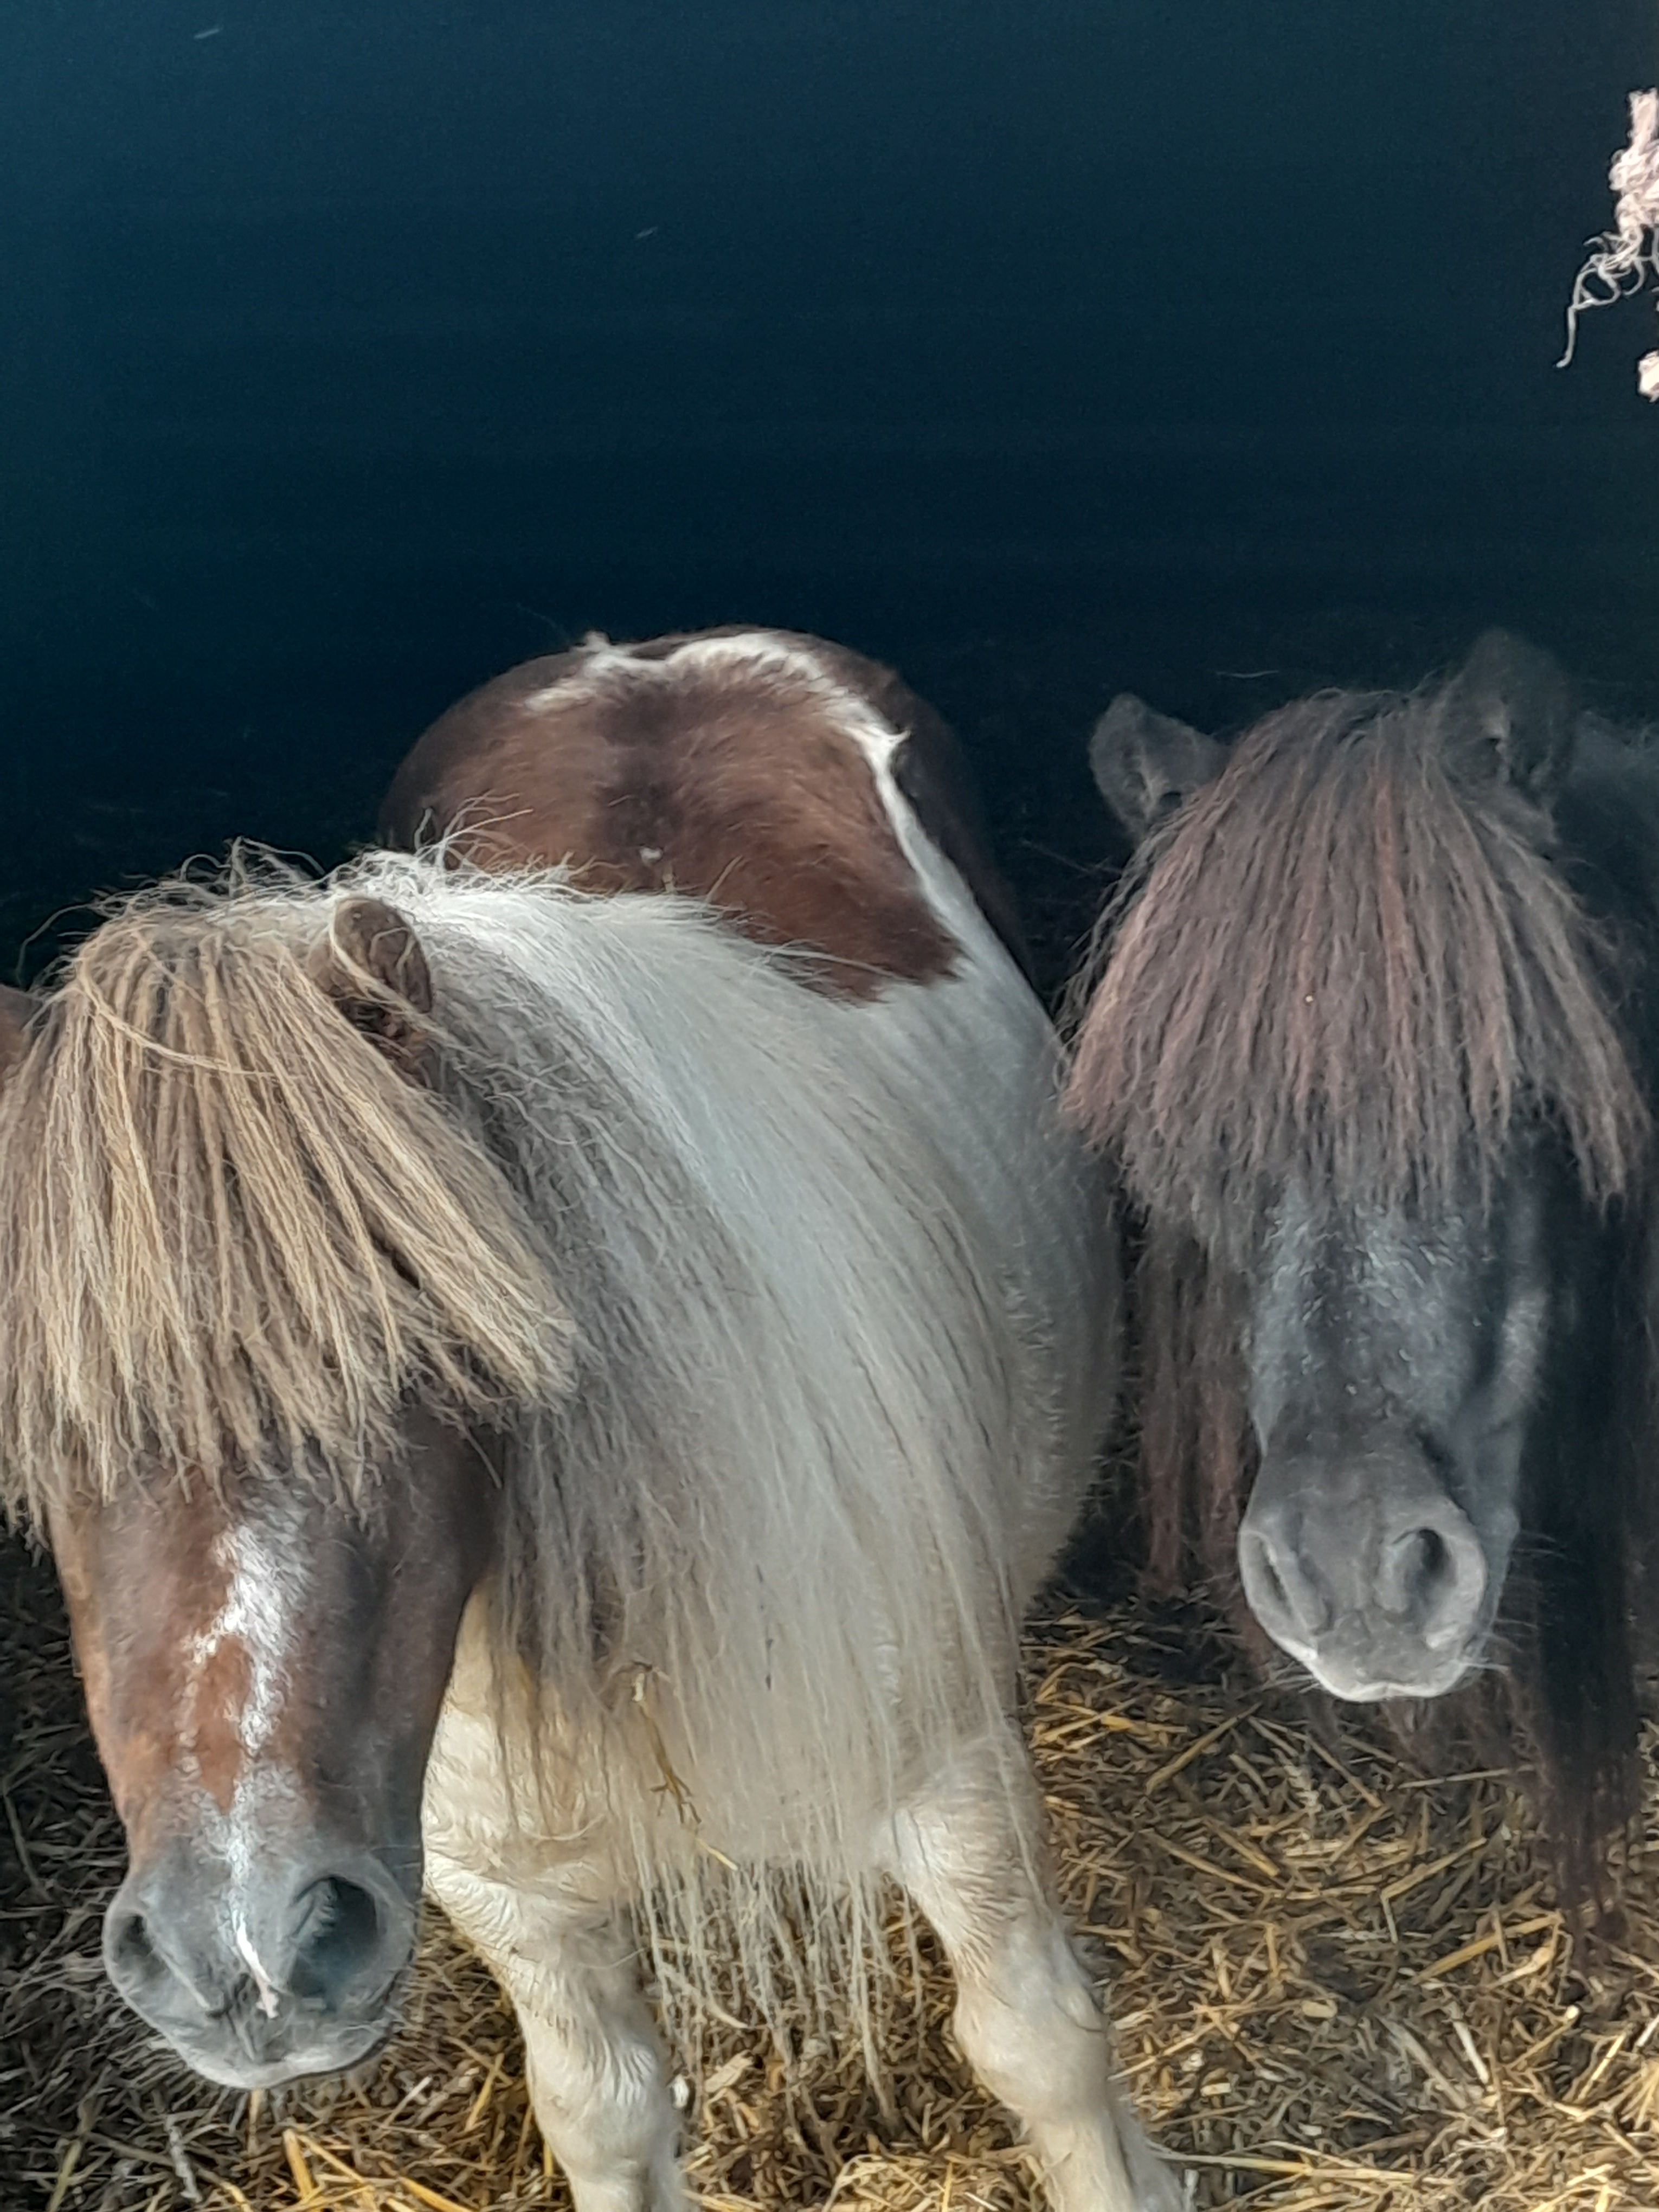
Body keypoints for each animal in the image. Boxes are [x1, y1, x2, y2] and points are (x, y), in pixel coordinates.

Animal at [0, 627, 1179, 2212]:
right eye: (44, 1420)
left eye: (432, 1348)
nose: (241, 1953)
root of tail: (647, 654)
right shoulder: (507, 1890)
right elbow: (603, 2107)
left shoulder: (954, 1788)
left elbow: (1037, 2043)